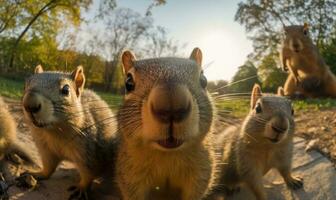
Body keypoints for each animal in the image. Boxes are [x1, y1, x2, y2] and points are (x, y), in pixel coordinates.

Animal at [21, 65, 118, 199]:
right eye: (26, 84)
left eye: (66, 90)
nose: (30, 104)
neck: (55, 132)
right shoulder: (46, 149)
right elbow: (48, 166)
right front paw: (39, 173)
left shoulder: (89, 152)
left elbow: (88, 173)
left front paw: (81, 188)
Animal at [115, 47, 220, 199]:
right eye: (128, 83)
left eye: (203, 80)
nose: (171, 104)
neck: (167, 155)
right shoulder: (130, 174)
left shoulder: (201, 173)